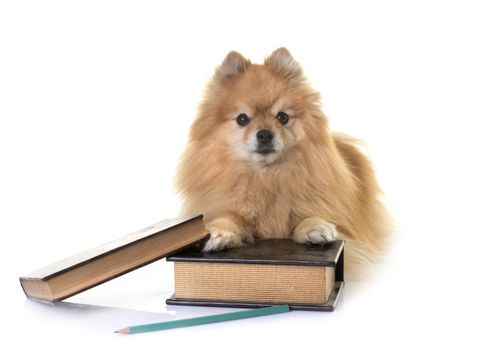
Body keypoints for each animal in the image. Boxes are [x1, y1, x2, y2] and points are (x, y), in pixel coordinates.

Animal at [176, 47, 392, 276]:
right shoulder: (228, 206)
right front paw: (218, 233)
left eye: (283, 117)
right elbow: (228, 219)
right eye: (242, 119)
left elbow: (309, 217)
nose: (264, 134)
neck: (266, 176)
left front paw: (316, 228)